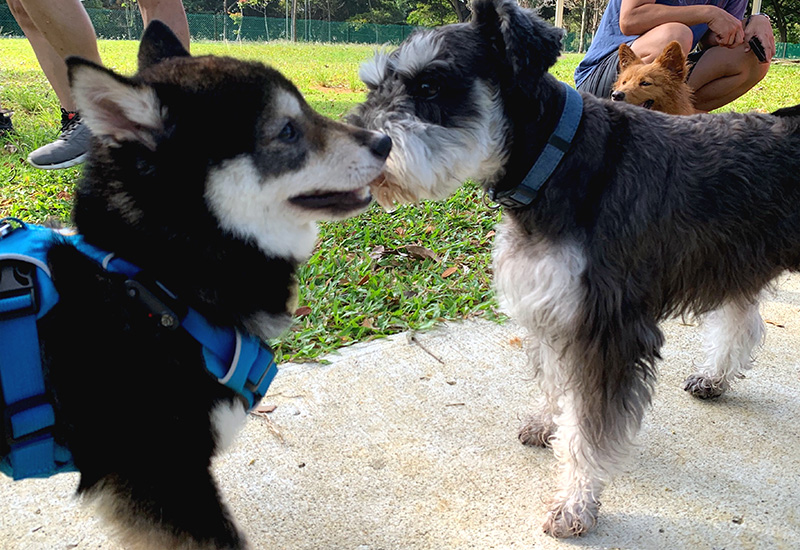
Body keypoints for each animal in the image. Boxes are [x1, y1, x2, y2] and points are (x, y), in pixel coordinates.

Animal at [354, 0, 800, 540]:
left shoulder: (606, 328)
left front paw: (575, 503)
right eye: (374, 84)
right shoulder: (552, 303)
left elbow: (588, 430)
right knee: (742, 319)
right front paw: (549, 422)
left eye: (431, 86)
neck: (558, 157)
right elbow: (556, 382)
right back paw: (714, 377)